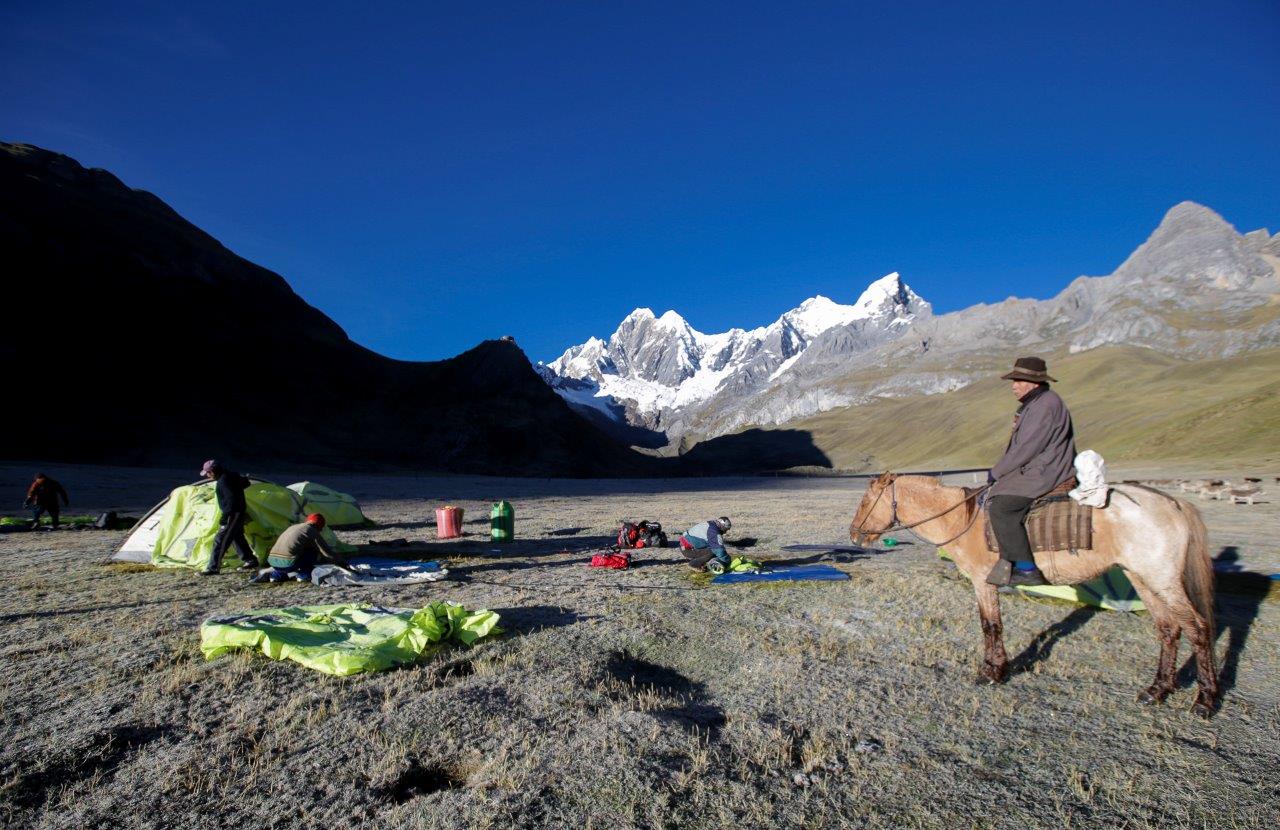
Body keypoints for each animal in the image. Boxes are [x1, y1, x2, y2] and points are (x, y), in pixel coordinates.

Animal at [849, 473, 1218, 717]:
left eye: (866, 500)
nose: (854, 534)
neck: (960, 520)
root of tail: (1175, 503)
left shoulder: (983, 582)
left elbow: (991, 626)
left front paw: (992, 672)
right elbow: (991, 625)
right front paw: (996, 668)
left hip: (1162, 579)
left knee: (1198, 629)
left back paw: (1205, 701)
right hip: (1142, 578)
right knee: (1169, 629)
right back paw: (1157, 691)